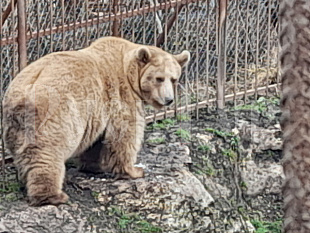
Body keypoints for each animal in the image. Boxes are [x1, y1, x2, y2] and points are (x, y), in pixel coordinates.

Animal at [2, 36, 189, 206]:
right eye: (159, 78)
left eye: (174, 79)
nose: (168, 100)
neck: (128, 70)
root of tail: (25, 93)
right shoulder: (122, 96)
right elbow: (125, 134)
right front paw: (134, 170)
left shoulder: (98, 112)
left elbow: (97, 139)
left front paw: (94, 166)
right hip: (56, 112)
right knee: (48, 152)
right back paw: (53, 196)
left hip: (14, 124)